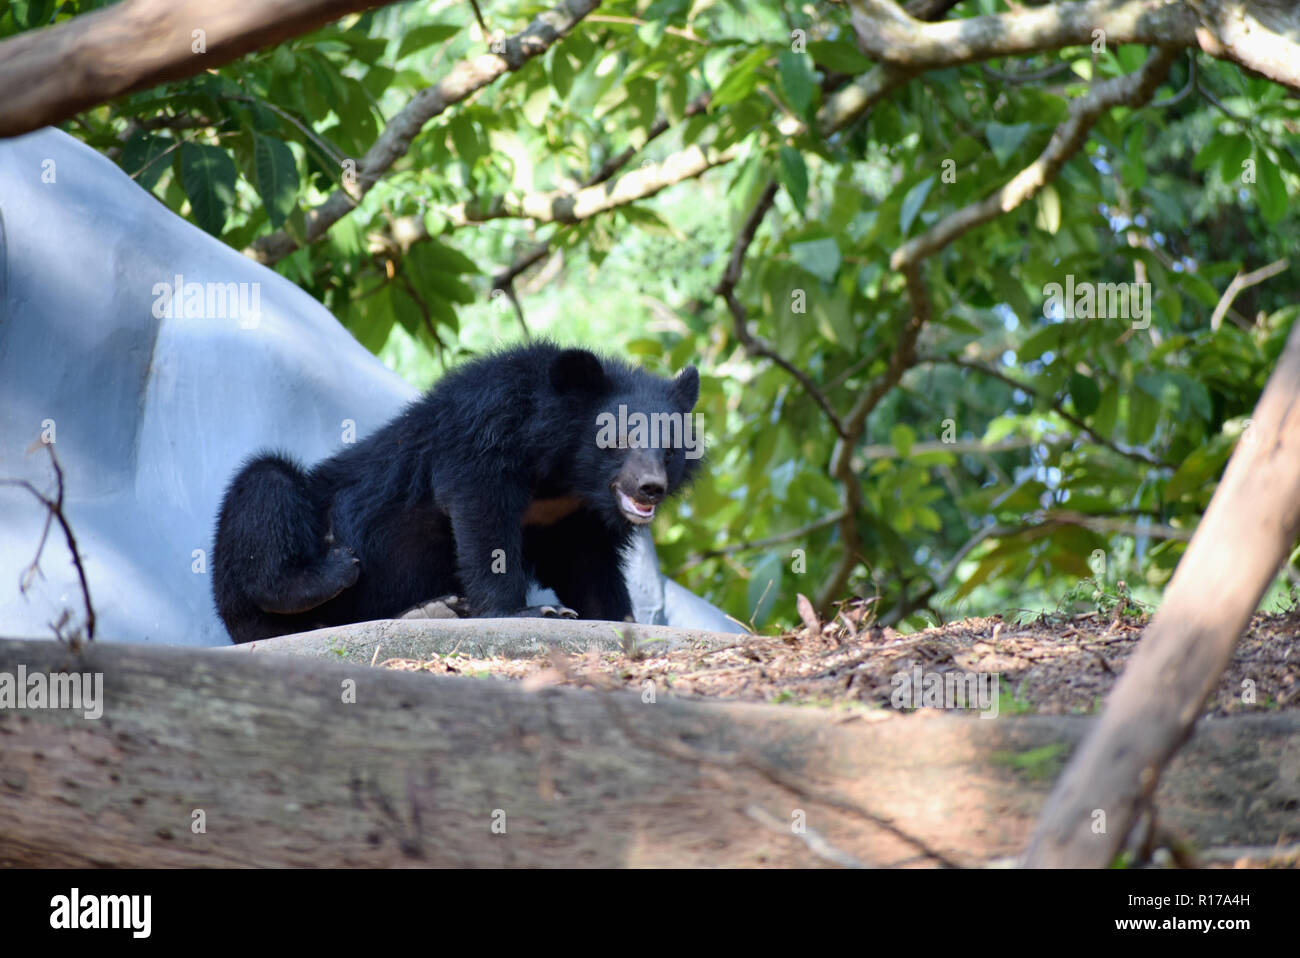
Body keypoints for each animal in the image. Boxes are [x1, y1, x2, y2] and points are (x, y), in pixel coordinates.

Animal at [211, 343, 702, 643]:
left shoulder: (574, 518)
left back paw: (434, 610)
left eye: (670, 448)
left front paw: (621, 619)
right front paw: (530, 613)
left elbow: (588, 566)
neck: (565, 474)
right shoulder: (484, 433)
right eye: (615, 439)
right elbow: (482, 517)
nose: (650, 489)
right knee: (266, 486)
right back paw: (328, 572)